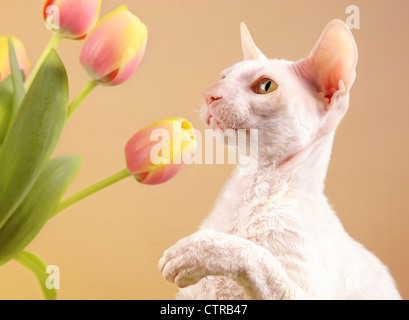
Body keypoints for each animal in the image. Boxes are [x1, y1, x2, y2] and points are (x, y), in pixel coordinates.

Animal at [158, 20, 400, 300]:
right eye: (223, 77)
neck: (253, 187)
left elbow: (259, 257)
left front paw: (195, 252)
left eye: (266, 86)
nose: (210, 94)